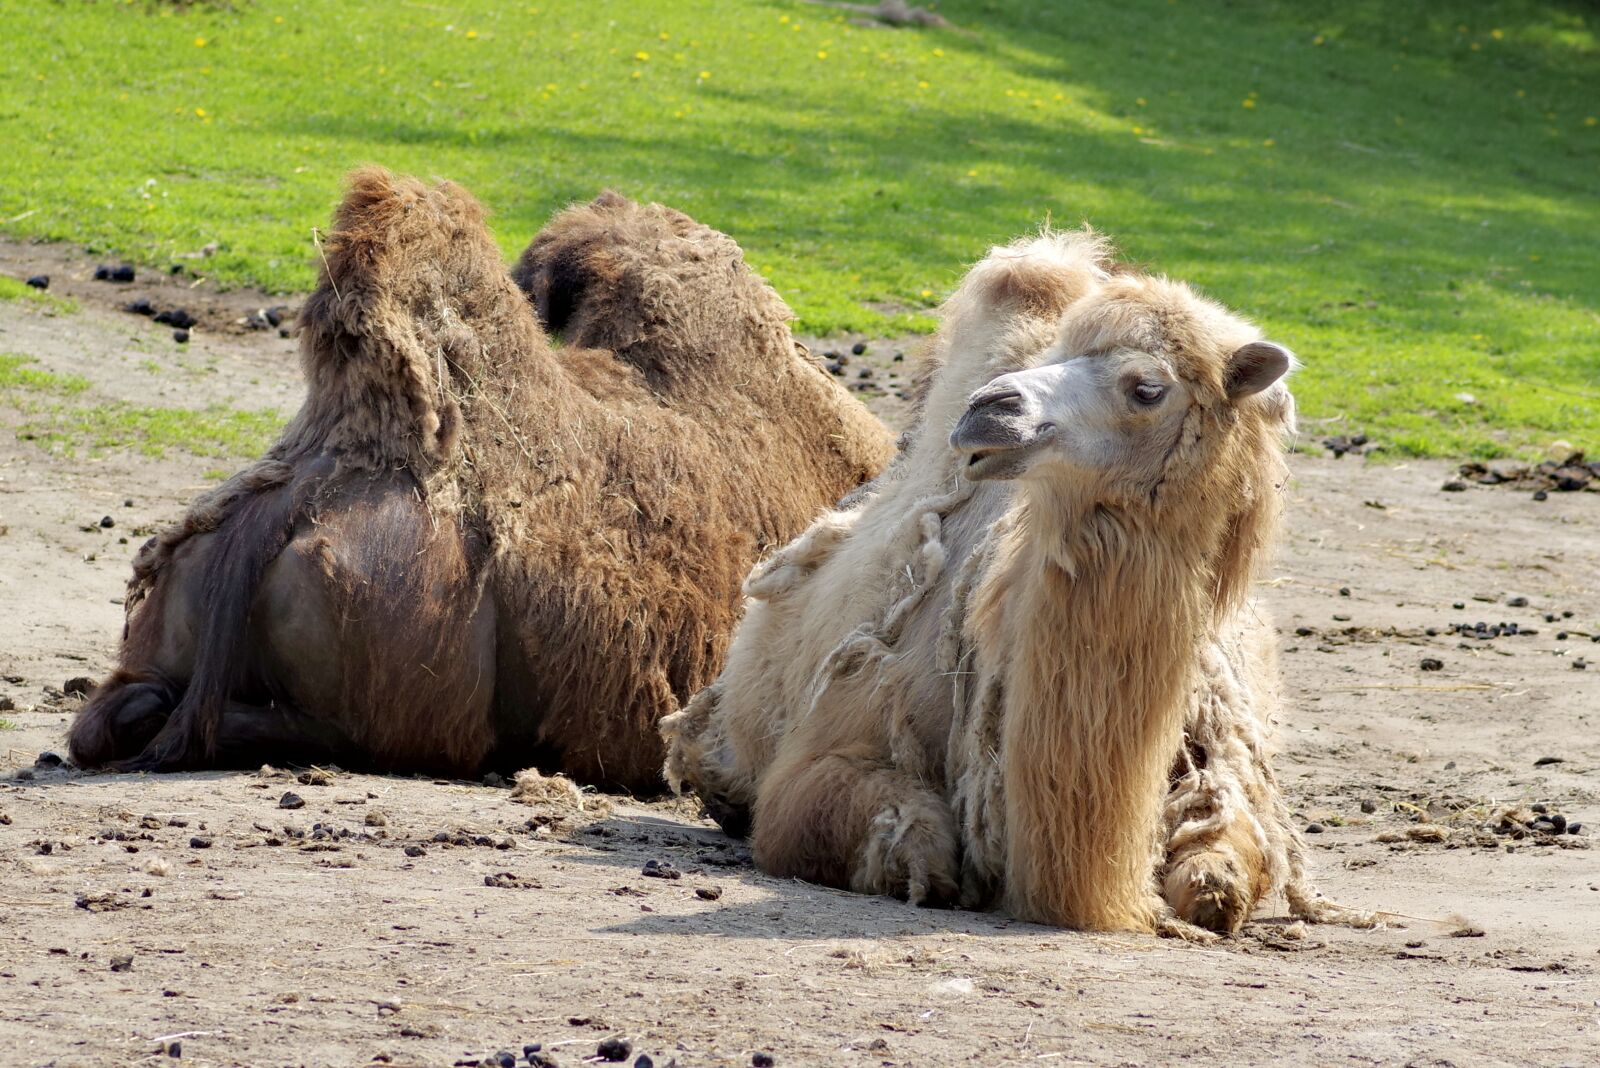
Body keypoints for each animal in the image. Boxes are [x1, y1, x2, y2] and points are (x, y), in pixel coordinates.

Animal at [662, 229, 1358, 935]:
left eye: (1146, 388)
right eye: (1056, 354)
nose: (987, 409)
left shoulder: (1225, 772)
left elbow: (1222, 875)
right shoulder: (833, 748)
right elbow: (905, 841)